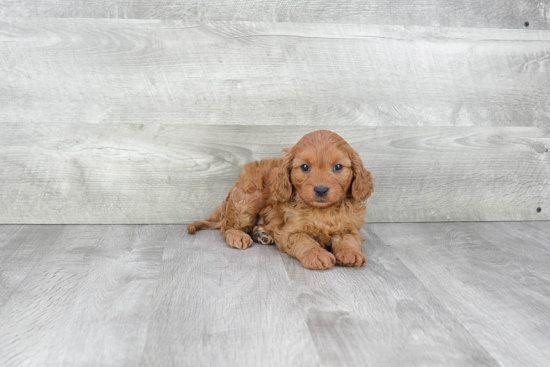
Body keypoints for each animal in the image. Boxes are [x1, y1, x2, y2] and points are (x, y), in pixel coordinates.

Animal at [189, 130, 376, 270]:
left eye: (338, 167)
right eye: (305, 167)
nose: (321, 189)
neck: (323, 211)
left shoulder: (349, 226)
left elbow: (349, 239)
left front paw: (351, 253)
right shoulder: (290, 230)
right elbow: (304, 240)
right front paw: (316, 255)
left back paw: (262, 233)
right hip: (248, 200)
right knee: (227, 226)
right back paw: (238, 235)